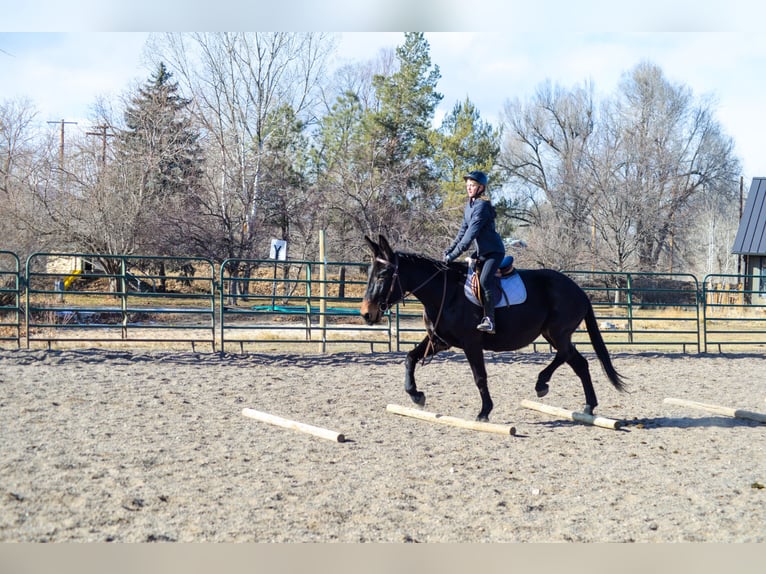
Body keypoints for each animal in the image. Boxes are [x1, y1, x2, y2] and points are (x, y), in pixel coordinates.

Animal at [358, 235, 624, 424]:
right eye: (371, 273)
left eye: (383, 274)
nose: (366, 313)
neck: (445, 292)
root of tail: (579, 290)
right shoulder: (440, 340)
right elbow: (410, 358)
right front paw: (416, 395)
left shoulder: (471, 343)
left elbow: (480, 377)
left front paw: (484, 412)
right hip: (553, 334)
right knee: (578, 362)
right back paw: (587, 406)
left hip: (558, 333)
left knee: (567, 355)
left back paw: (542, 384)